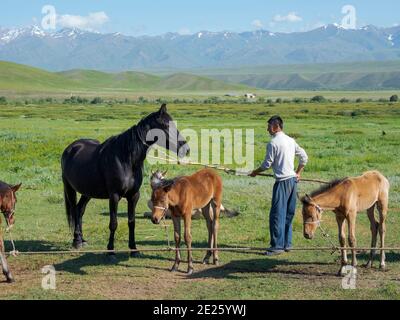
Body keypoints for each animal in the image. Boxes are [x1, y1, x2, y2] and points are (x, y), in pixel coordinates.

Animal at [61, 104, 189, 256]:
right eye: (165, 125)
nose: (186, 149)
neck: (126, 159)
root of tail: (71, 148)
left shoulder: (133, 195)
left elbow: (131, 222)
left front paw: (134, 249)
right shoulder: (114, 196)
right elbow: (113, 223)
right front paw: (110, 251)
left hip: (88, 191)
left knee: (80, 210)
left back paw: (81, 240)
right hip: (70, 188)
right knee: (74, 210)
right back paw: (76, 241)